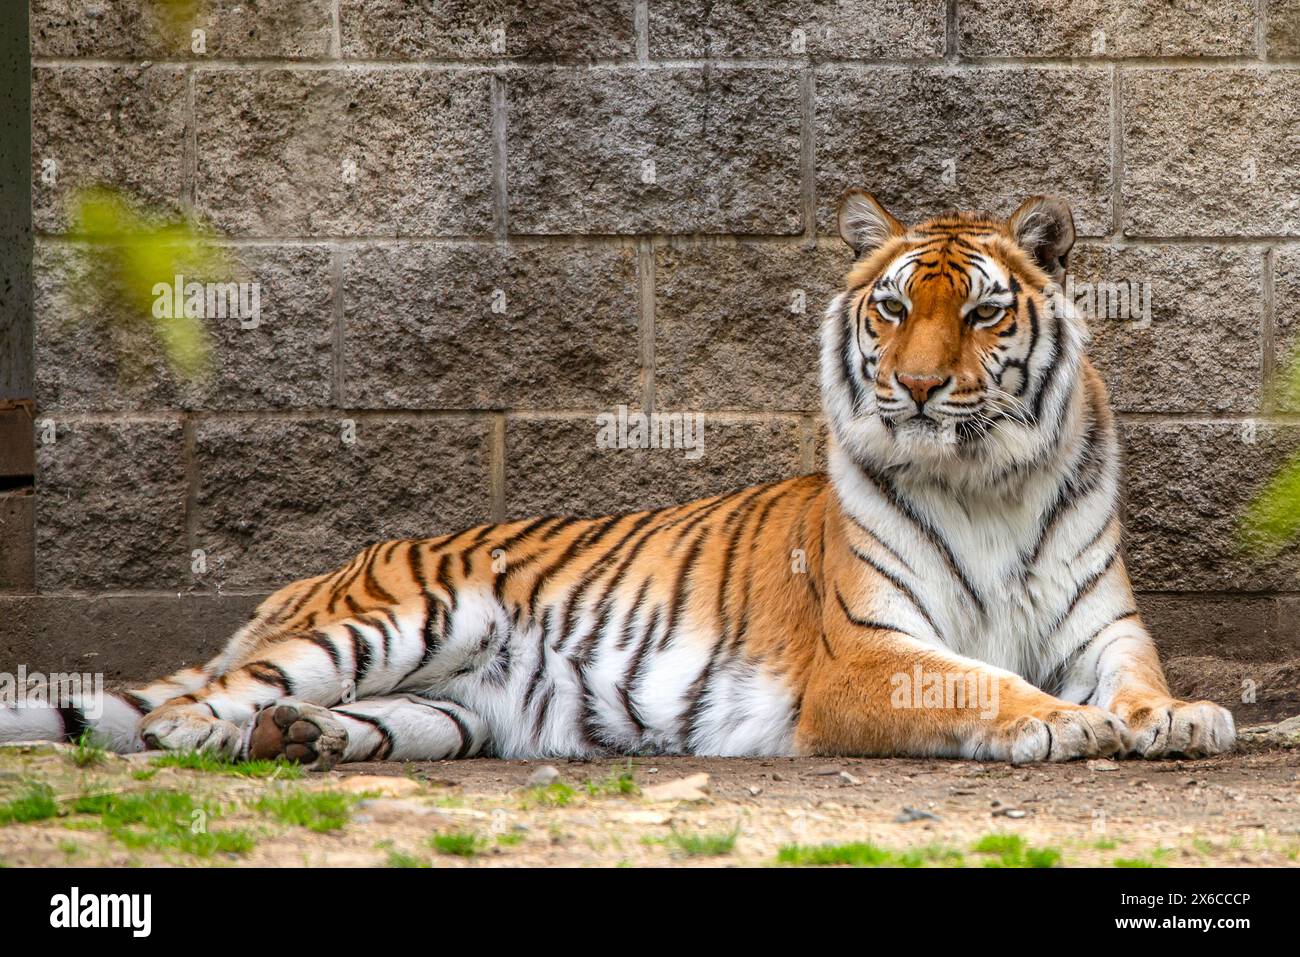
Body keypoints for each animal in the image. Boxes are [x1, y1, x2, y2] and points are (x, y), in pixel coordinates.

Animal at [2, 191, 1237, 764]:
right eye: (892, 308)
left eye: (980, 312)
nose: (921, 386)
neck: (985, 480)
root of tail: (318, 572)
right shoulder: (866, 657)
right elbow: (982, 684)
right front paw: (1063, 726)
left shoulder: (1101, 625)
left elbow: (1137, 678)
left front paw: (1177, 717)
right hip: (389, 621)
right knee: (191, 705)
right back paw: (220, 736)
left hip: (448, 708)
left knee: (340, 717)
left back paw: (307, 741)